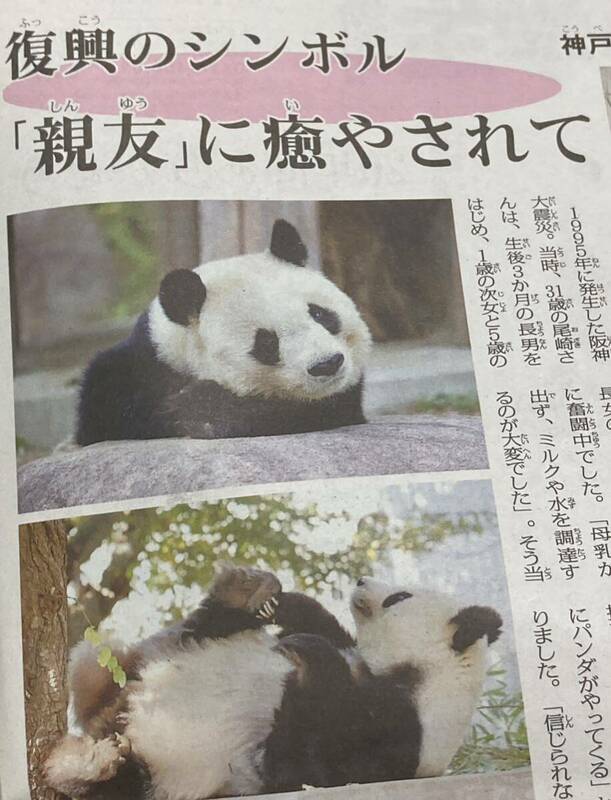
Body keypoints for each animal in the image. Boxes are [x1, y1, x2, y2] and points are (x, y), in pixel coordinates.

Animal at [45, 564, 504, 800]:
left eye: (400, 597)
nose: (361, 580)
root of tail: (111, 720)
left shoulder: (402, 733)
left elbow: (301, 764)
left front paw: (311, 654)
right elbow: (320, 626)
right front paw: (287, 608)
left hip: (161, 774)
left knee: (120, 784)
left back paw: (88, 764)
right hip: (140, 665)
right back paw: (243, 593)